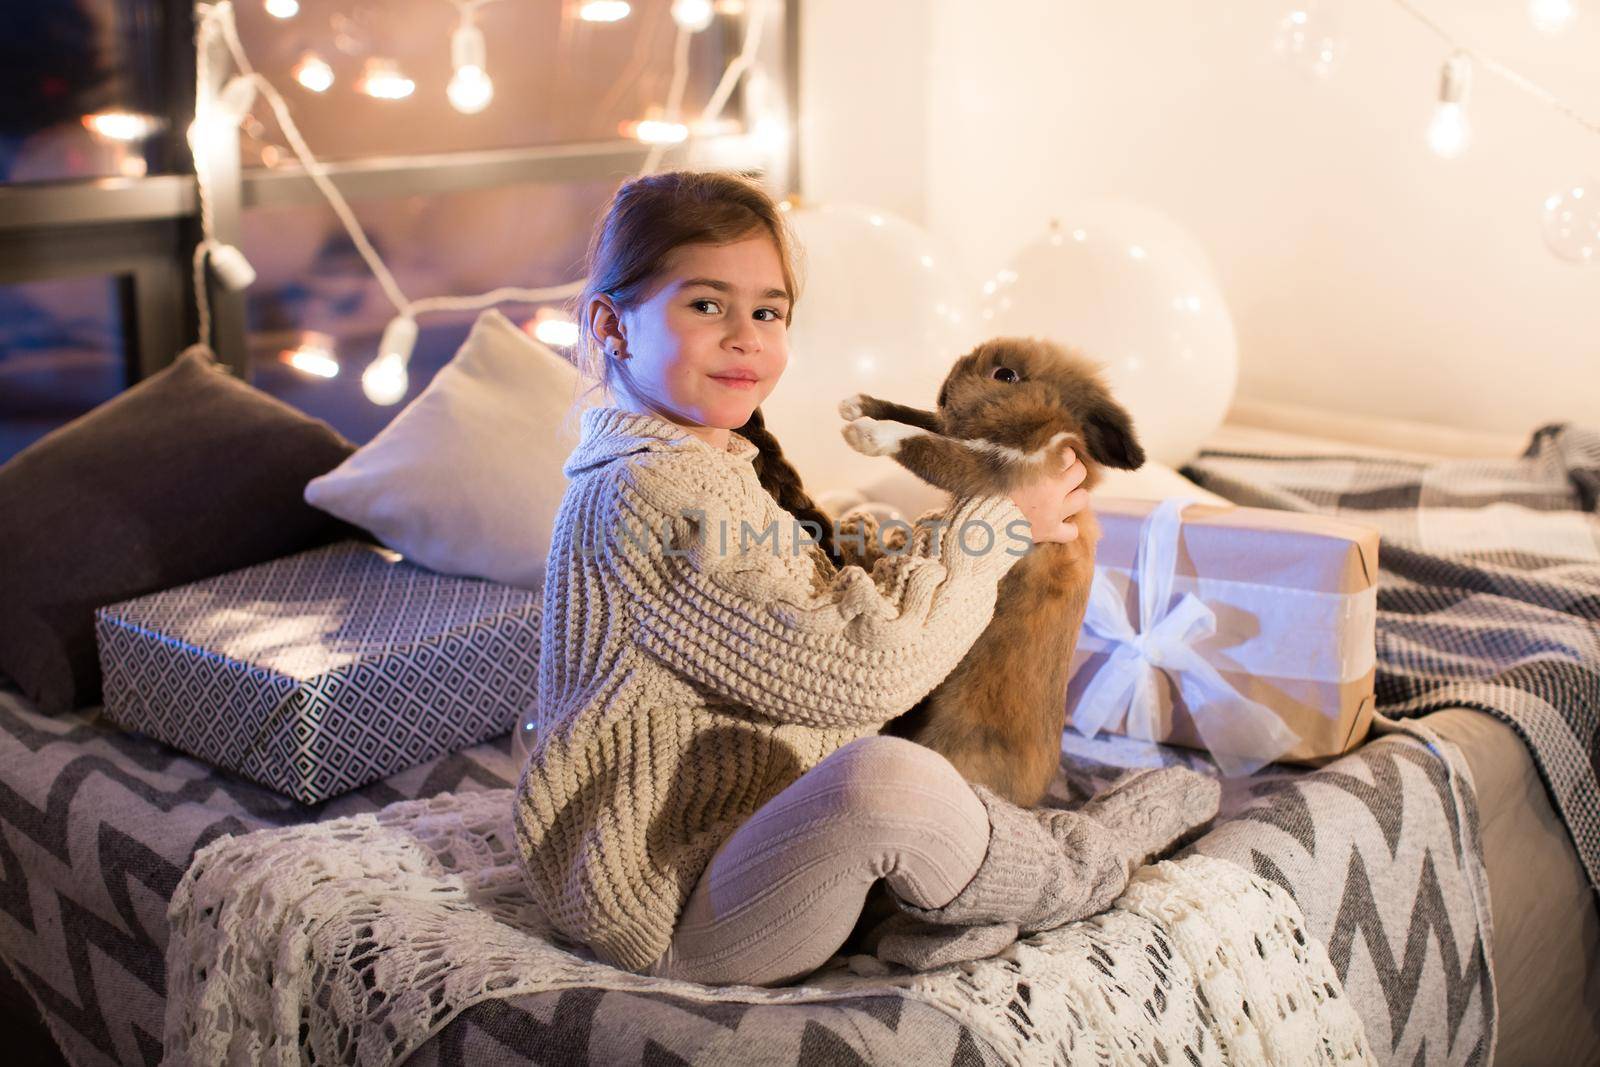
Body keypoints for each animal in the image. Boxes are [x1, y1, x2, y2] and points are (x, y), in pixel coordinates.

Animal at [838, 337, 1139, 806]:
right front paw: (857, 405)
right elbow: (920, 417)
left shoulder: (992, 471)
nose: (944, 393)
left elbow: (925, 441)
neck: (1046, 428)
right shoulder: (967, 439)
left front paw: (865, 433)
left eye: (1006, 375)